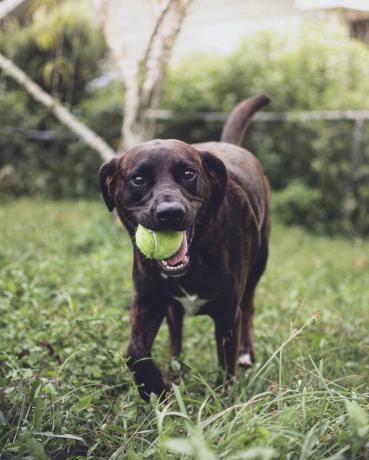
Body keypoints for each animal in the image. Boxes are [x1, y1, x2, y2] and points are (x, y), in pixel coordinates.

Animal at [99, 95, 272, 400]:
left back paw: (245, 353)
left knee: (249, 307)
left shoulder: (228, 314)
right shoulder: (148, 301)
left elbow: (225, 369)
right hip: (172, 309)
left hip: (257, 267)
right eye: (138, 179)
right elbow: (135, 353)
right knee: (176, 338)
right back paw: (174, 374)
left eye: (188, 174)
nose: (170, 213)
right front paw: (156, 389)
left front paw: (222, 403)